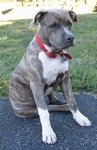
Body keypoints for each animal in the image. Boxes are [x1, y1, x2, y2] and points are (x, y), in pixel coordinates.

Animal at [8, 9, 91, 144]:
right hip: (26, 109)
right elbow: (44, 113)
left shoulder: (65, 79)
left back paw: (63, 104)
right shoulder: (36, 84)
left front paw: (79, 117)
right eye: (53, 25)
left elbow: (72, 101)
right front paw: (48, 133)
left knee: (53, 100)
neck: (53, 53)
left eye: (70, 23)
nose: (70, 38)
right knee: (49, 107)